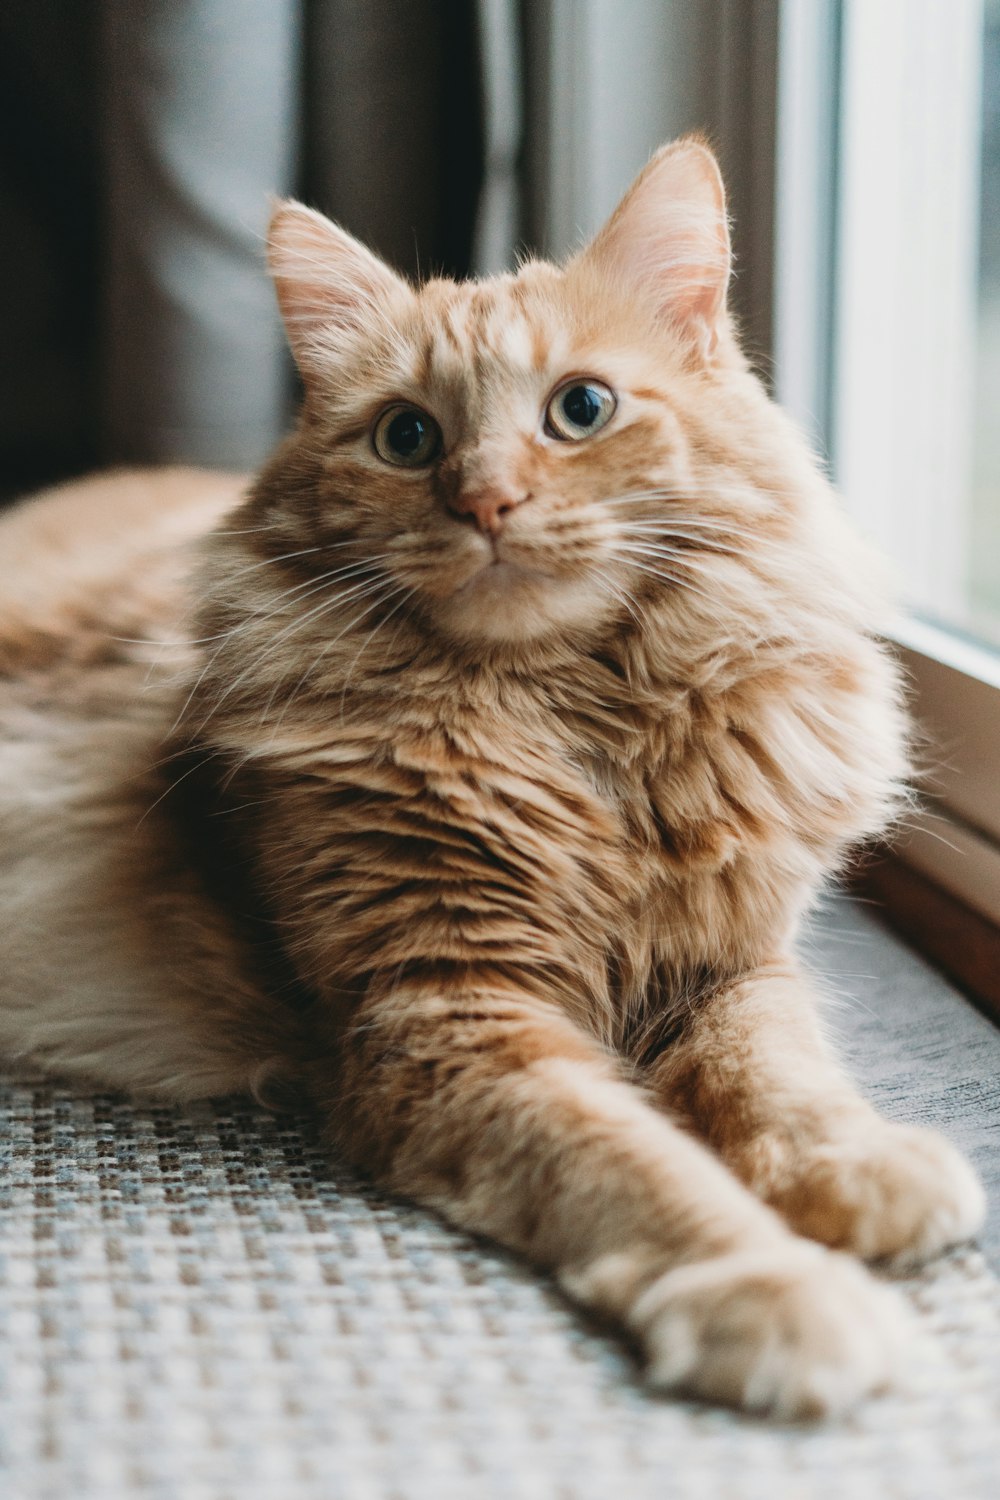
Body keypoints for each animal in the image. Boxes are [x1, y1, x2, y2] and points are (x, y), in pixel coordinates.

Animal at [0, 141, 983, 1416]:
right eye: (407, 438)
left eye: (582, 410)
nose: (485, 501)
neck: (575, 728)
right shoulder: (449, 1012)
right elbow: (635, 1165)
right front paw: (769, 1288)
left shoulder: (728, 965)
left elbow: (779, 1076)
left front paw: (854, 1165)